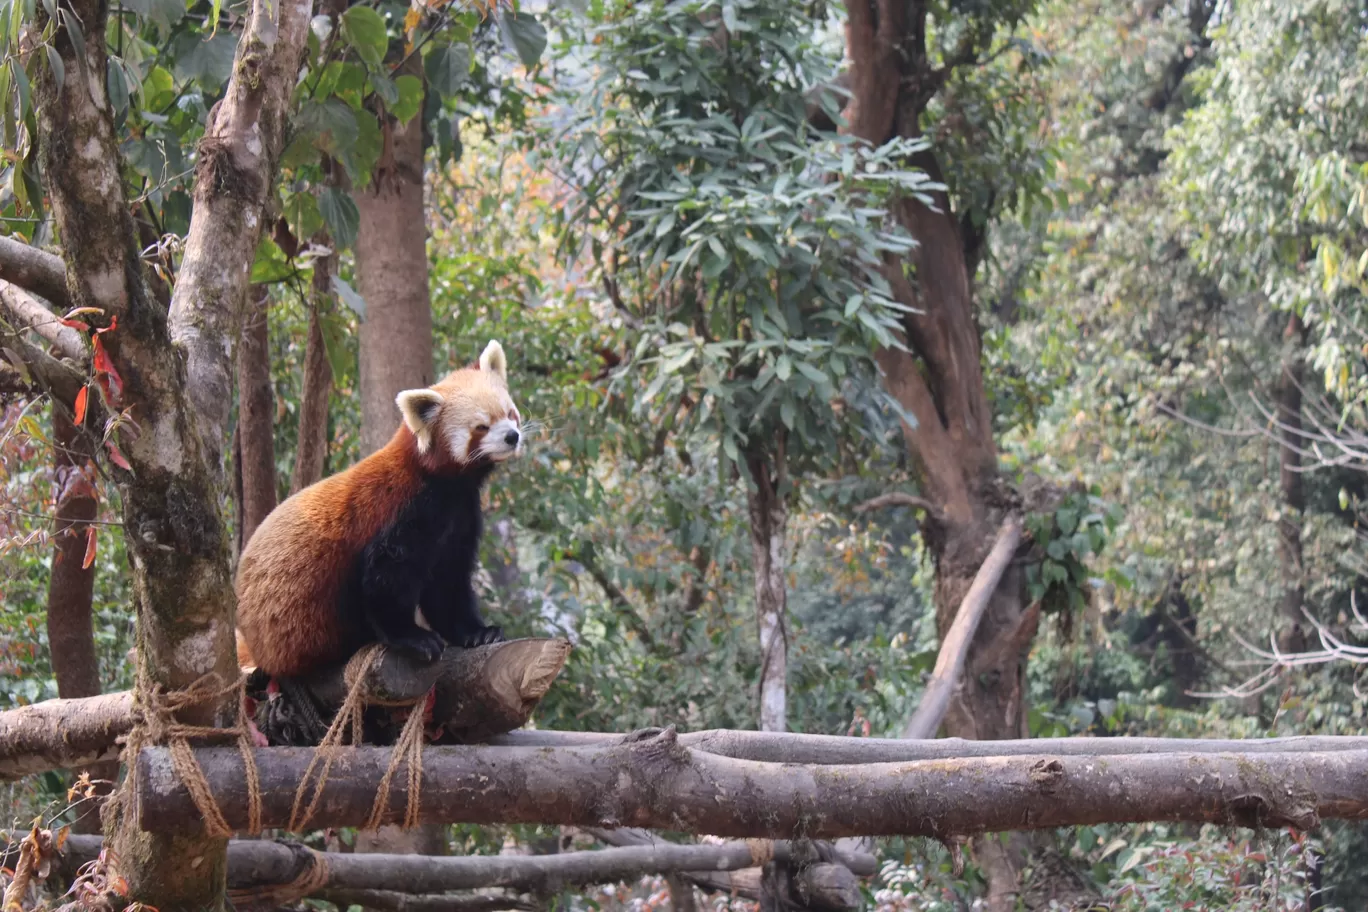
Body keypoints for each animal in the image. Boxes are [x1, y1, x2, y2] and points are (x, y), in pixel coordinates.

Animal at [232, 340, 519, 678]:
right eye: (481, 427)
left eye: (509, 413)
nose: (512, 436)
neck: (448, 486)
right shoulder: (401, 511)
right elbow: (384, 578)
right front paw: (413, 638)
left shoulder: (461, 516)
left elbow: (447, 582)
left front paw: (478, 632)